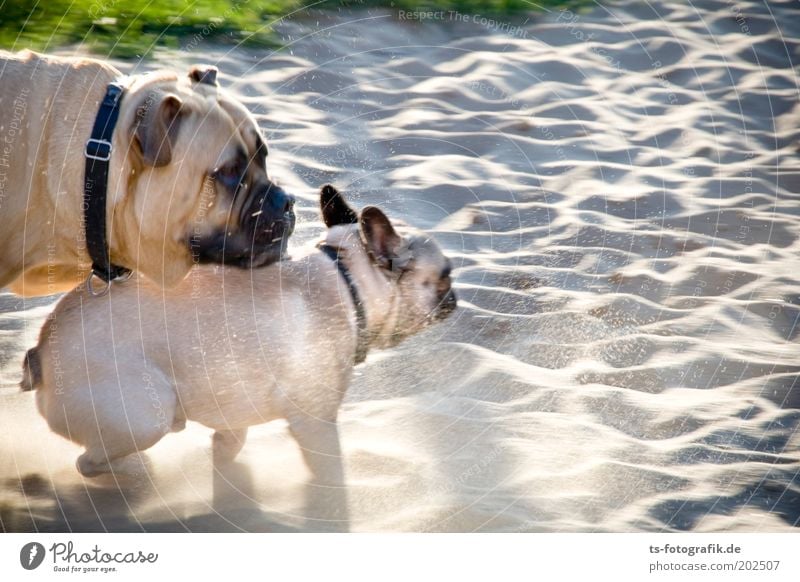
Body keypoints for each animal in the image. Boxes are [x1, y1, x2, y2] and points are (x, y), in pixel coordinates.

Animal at [23, 185, 456, 528]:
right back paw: (136, 473)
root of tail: (41, 353)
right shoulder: (316, 422)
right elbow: (330, 470)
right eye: (445, 276)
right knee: (89, 461)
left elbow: (230, 444)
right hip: (148, 414)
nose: (455, 297)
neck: (350, 284)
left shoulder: (235, 408)